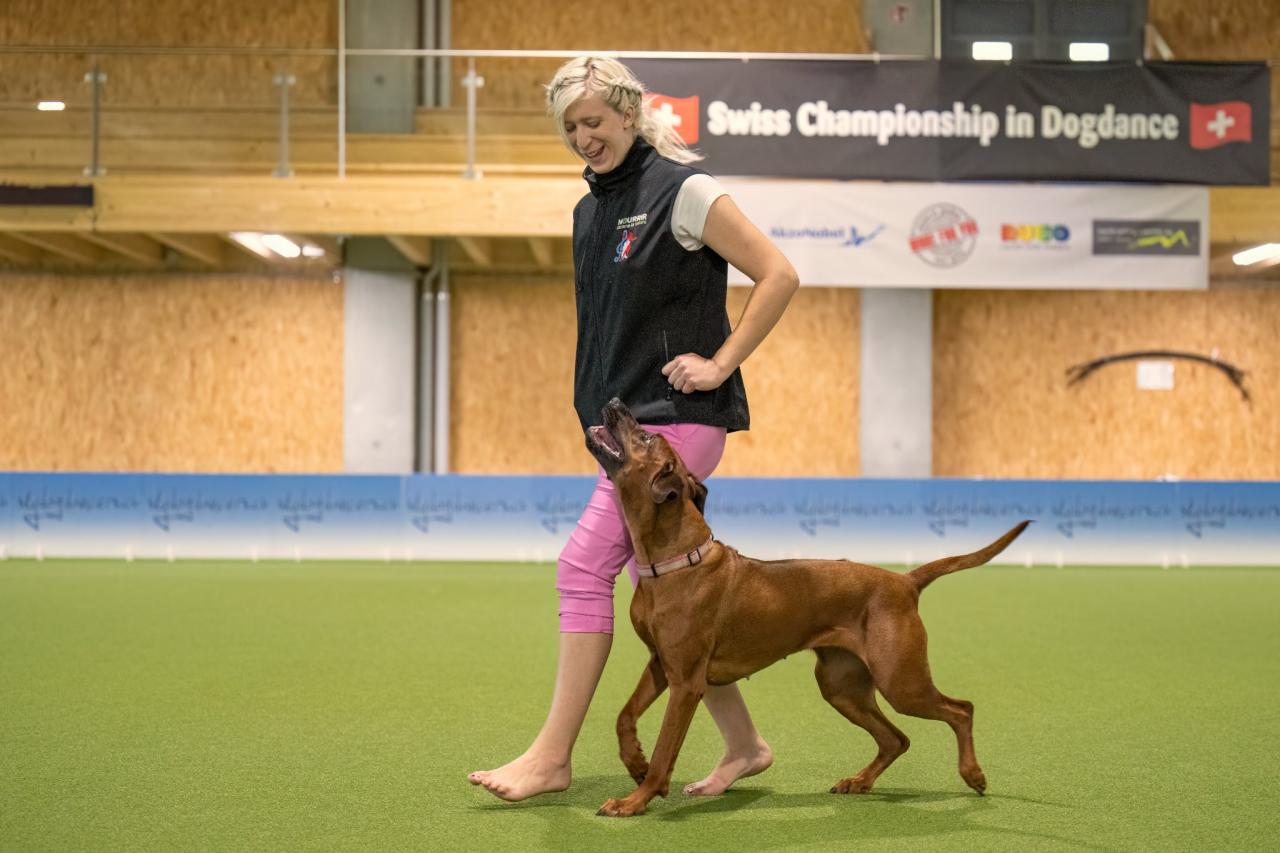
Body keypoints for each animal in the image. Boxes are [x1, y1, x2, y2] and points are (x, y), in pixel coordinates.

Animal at [586, 394, 1024, 814]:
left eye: (646, 437)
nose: (615, 402)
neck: (671, 559)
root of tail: (904, 581)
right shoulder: (660, 663)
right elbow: (624, 717)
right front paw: (635, 762)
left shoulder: (686, 682)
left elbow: (665, 750)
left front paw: (635, 800)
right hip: (841, 686)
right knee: (896, 739)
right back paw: (859, 782)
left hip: (900, 681)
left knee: (961, 709)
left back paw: (973, 774)